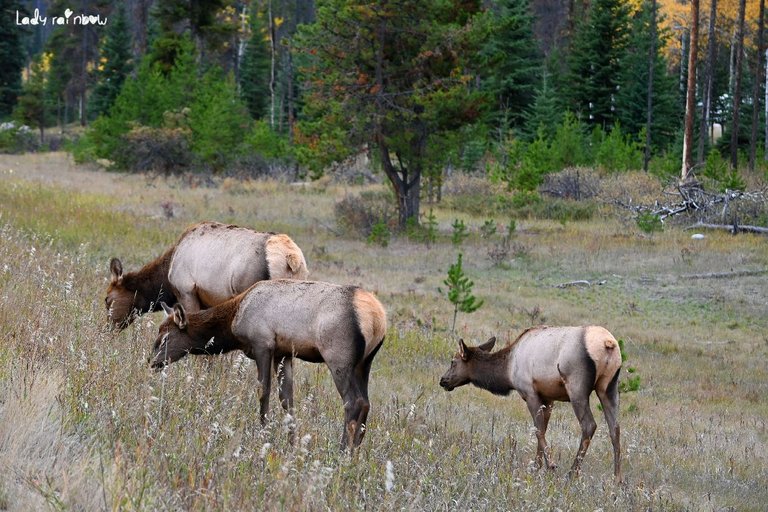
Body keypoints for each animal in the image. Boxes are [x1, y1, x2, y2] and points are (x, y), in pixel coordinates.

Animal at [149, 278, 388, 450]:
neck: (234, 320)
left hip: (338, 357)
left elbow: (263, 391)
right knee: (366, 402)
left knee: (353, 401)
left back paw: (343, 450)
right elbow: (287, 399)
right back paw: (356, 450)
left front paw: (263, 433)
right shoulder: (284, 353)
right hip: (364, 363)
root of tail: (378, 318)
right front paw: (292, 443)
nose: (153, 362)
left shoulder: (262, 344)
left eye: (166, 337)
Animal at [438, 326, 624, 482]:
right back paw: (617, 479)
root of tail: (608, 344)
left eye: (453, 361)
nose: (443, 380)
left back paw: (572, 473)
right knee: (615, 428)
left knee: (589, 425)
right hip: (609, 388)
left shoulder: (530, 392)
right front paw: (537, 466)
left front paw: (550, 465)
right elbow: (543, 429)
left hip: (577, 387)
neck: (507, 371)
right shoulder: (548, 398)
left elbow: (538, 429)